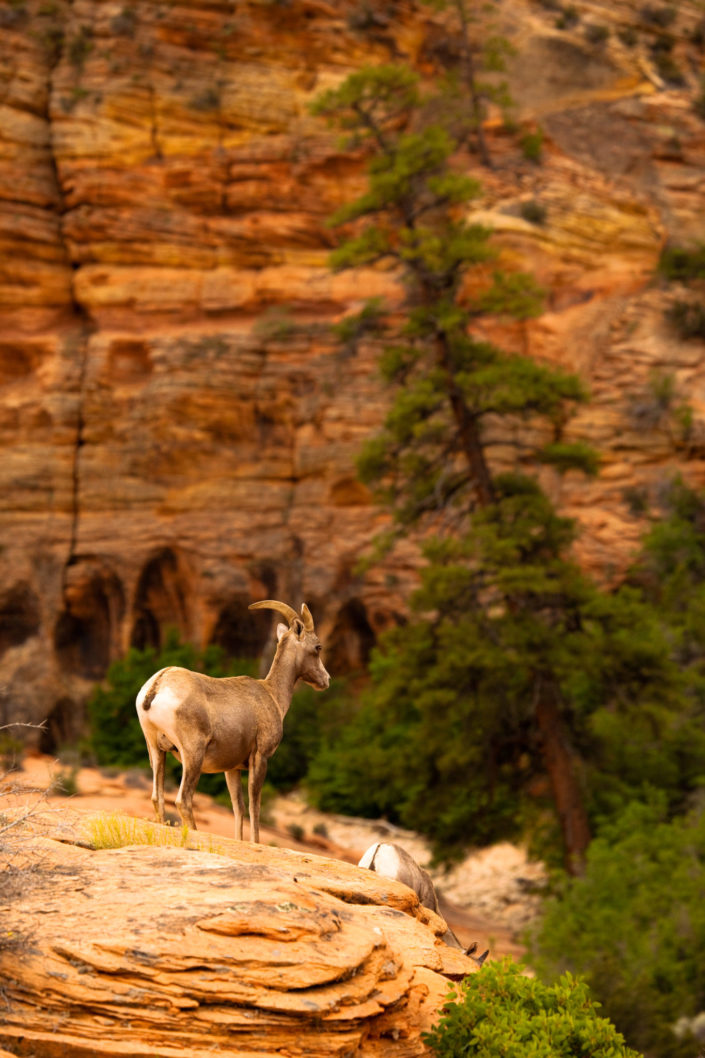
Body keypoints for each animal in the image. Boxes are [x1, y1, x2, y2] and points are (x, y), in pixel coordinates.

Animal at [135, 605, 328, 842]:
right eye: (318, 646)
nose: (326, 680)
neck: (272, 695)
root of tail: (157, 684)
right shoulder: (260, 758)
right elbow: (255, 806)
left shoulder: (231, 769)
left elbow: (239, 808)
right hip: (193, 755)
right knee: (183, 800)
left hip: (155, 750)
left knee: (157, 797)